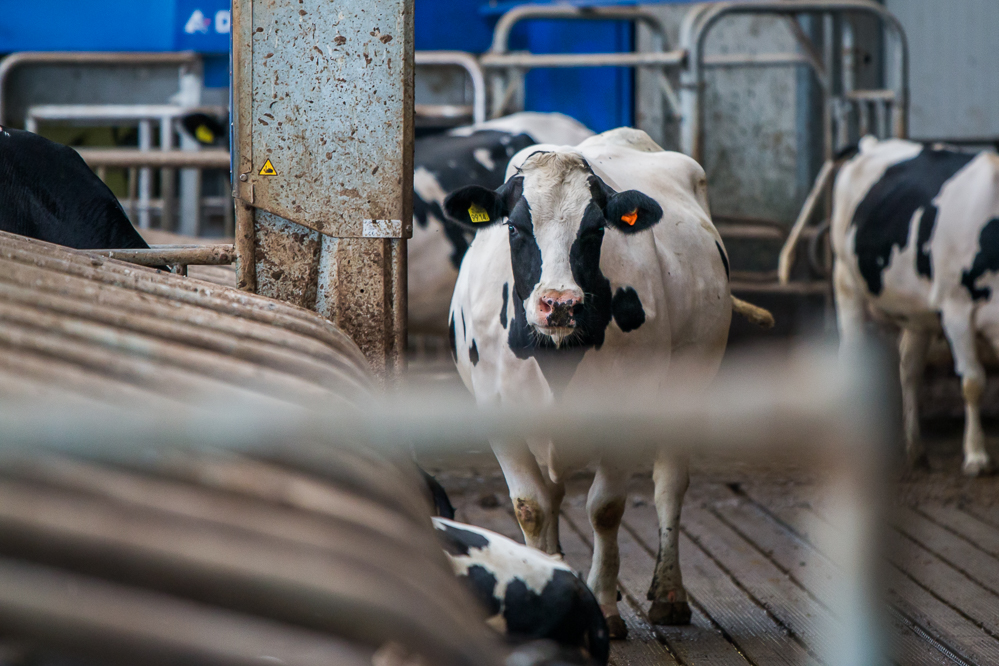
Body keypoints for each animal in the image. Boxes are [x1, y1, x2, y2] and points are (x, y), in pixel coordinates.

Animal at [446, 128, 752, 632]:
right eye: (515, 227)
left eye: (594, 230)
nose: (559, 303)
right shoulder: (497, 412)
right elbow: (531, 506)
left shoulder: (628, 409)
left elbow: (605, 508)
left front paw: (606, 606)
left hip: (691, 382)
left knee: (669, 484)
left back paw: (669, 593)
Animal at [832, 137, 999, 474]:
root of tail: (869, 143)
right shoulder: (956, 310)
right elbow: (973, 382)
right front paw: (976, 455)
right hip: (846, 280)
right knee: (852, 355)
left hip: (917, 313)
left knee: (908, 370)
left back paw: (915, 449)